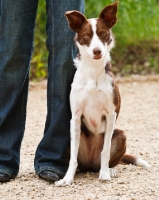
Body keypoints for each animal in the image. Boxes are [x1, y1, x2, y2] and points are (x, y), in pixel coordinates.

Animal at [54, 1, 150, 186]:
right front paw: (67, 178)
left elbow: (105, 150)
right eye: (86, 35)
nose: (97, 51)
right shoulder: (75, 117)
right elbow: (73, 158)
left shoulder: (111, 114)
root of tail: (91, 165)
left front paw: (105, 174)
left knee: (107, 158)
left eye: (103, 33)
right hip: (71, 138)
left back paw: (109, 170)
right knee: (79, 161)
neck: (93, 72)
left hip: (121, 135)